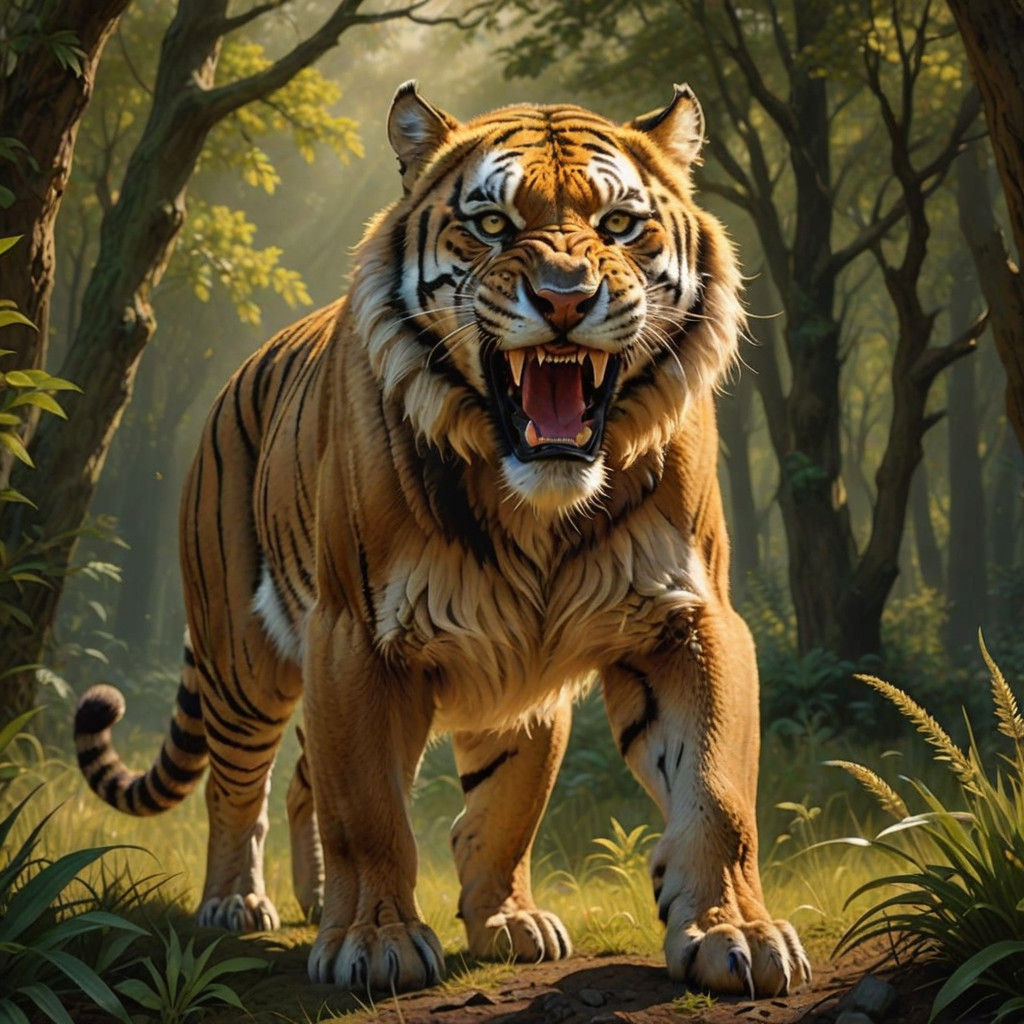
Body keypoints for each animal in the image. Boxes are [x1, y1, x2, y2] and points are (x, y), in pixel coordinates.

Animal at [74, 82, 811, 999]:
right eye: (492, 223)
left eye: (618, 225)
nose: (565, 299)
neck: (534, 506)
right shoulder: (355, 638)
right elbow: (371, 812)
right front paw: (376, 943)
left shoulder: (684, 618)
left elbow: (701, 792)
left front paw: (728, 931)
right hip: (241, 660)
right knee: (237, 788)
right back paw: (237, 903)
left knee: (322, 781)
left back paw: (335, 898)